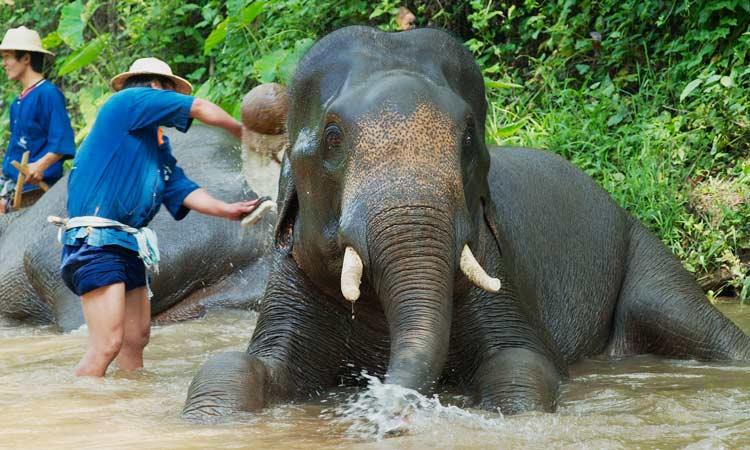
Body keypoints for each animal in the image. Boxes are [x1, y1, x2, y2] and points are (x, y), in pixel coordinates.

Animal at [184, 24, 750, 418]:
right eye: (332, 137)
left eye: (470, 137)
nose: (380, 400)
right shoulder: (288, 280)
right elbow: (232, 365)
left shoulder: (498, 266)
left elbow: (522, 365)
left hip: (642, 245)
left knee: (689, 322)